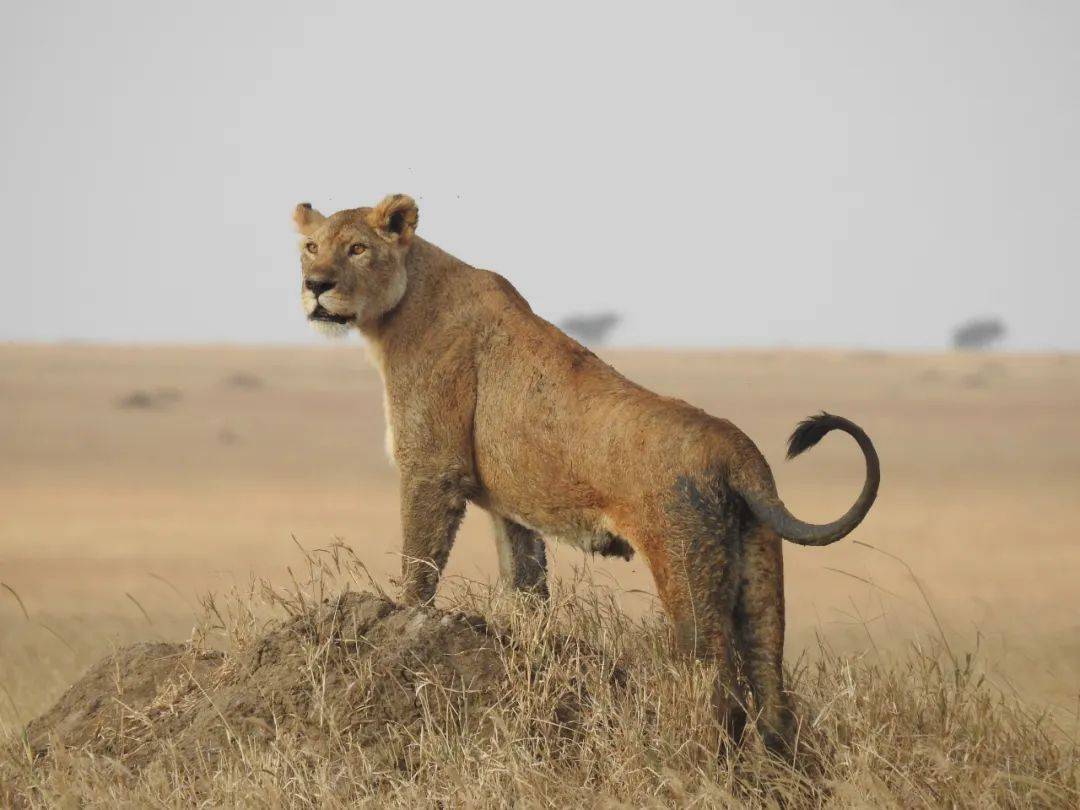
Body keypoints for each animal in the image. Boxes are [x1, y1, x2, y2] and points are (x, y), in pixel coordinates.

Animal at [293, 196, 876, 756]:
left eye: (357, 249)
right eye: (310, 247)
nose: (315, 285)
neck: (403, 300)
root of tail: (738, 448)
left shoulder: (432, 467)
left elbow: (419, 565)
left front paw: (403, 625)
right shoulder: (509, 508)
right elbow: (526, 585)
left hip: (686, 565)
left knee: (717, 681)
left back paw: (705, 761)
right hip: (759, 566)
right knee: (771, 683)